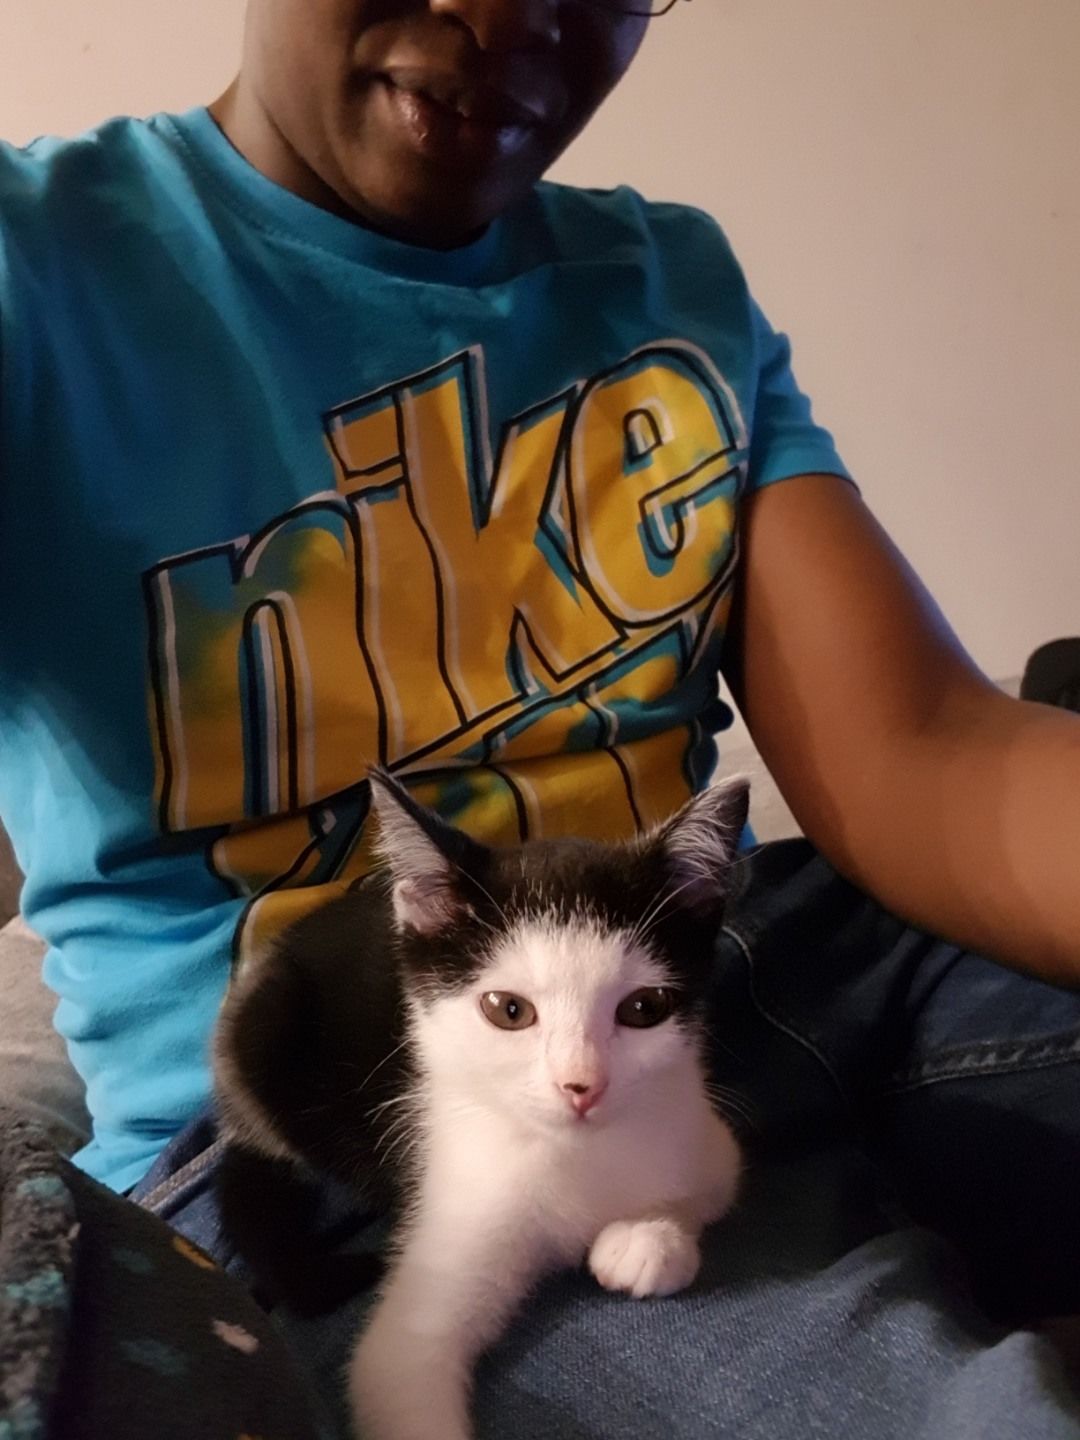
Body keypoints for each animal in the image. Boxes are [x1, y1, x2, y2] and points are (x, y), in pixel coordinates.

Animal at [213, 767, 749, 1440]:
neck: (570, 1153)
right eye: (508, 1010)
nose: (581, 1086)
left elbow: (714, 1184)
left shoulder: (700, 1130)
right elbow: (399, 1369)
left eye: (644, 1008)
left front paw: (648, 1240)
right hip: (260, 1035)